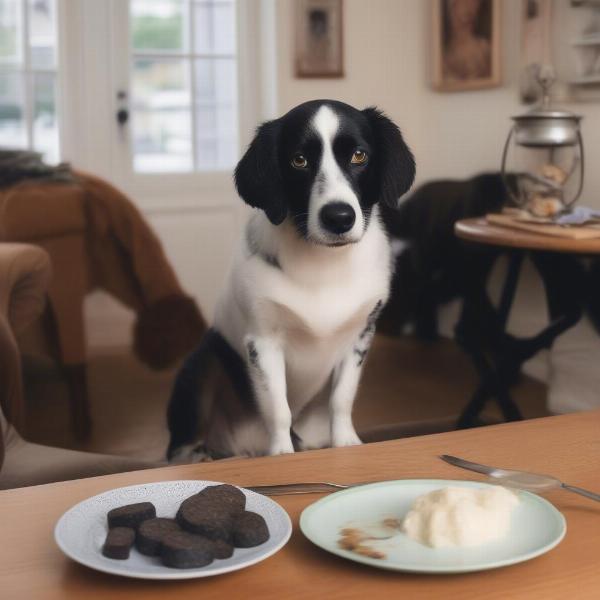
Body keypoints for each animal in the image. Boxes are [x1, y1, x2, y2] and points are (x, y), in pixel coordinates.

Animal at [166, 101, 414, 462]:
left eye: (359, 155)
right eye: (299, 160)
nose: (339, 218)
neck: (323, 263)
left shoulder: (359, 337)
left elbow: (342, 399)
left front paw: (346, 443)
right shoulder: (262, 343)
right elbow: (278, 409)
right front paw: (282, 455)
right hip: (202, 363)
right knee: (182, 439)